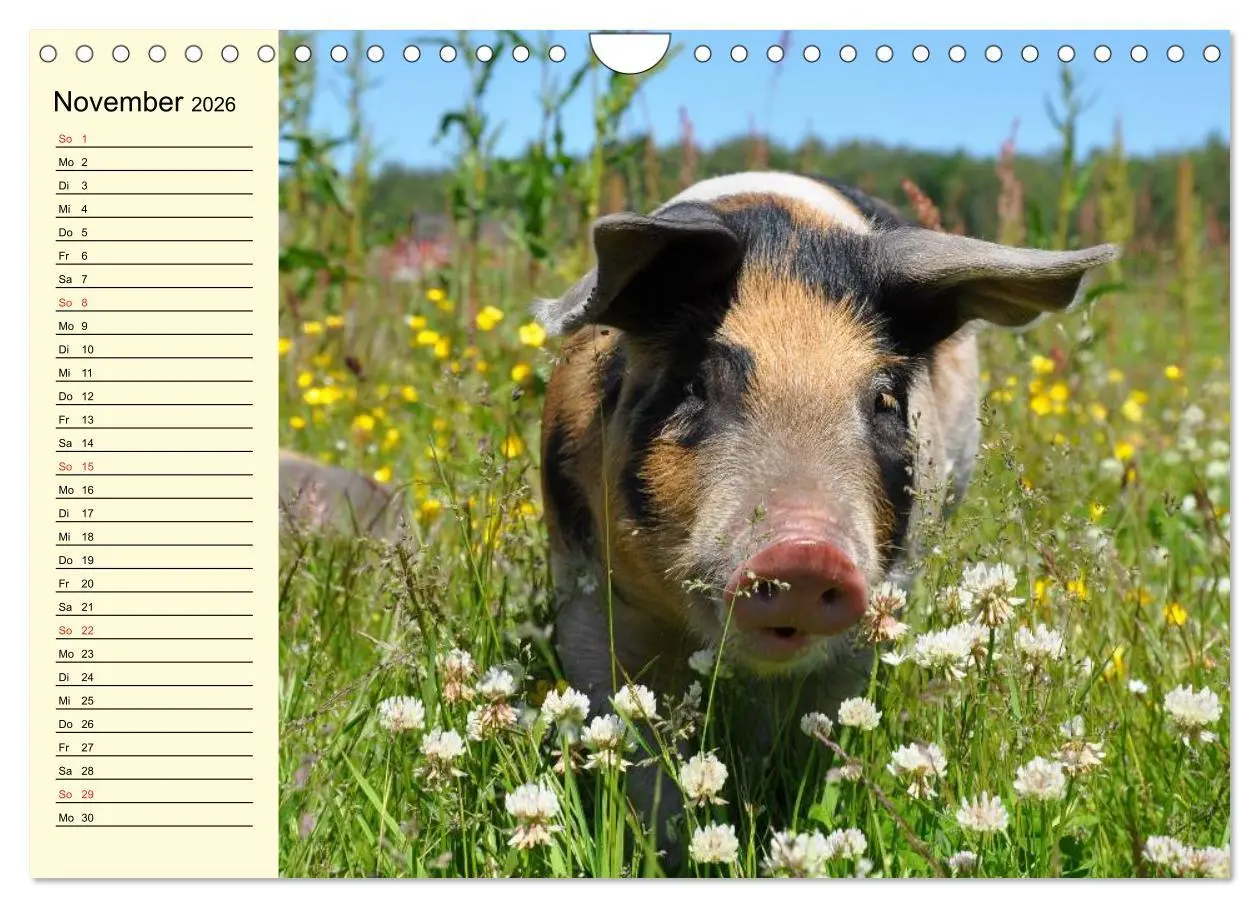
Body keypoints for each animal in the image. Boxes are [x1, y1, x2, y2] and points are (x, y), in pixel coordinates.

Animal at [534, 171, 1117, 854]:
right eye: (695, 385)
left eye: (885, 400)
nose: (807, 553)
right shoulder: (582, 585)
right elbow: (631, 739)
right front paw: (664, 849)